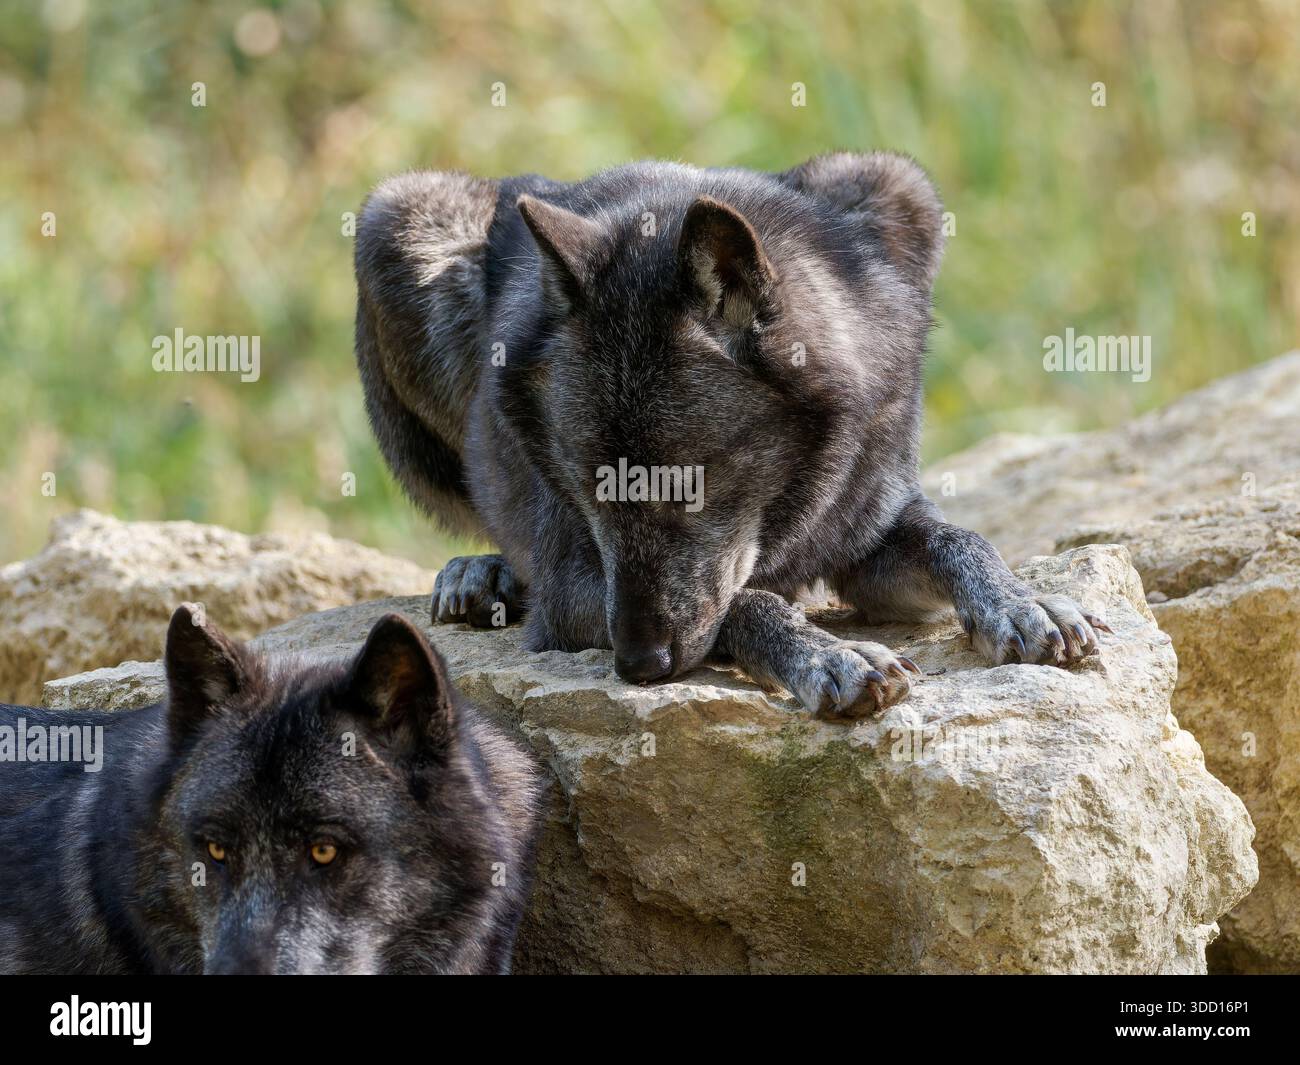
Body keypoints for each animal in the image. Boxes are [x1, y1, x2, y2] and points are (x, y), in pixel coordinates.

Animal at [354, 153, 1110, 719]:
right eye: (589, 490)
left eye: (689, 485)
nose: (638, 665)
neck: (787, 508)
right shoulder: (571, 592)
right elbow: (746, 600)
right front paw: (828, 654)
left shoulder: (869, 539)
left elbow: (961, 536)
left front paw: (1021, 603)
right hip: (391, 213)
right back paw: (483, 573)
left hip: (892, 181)